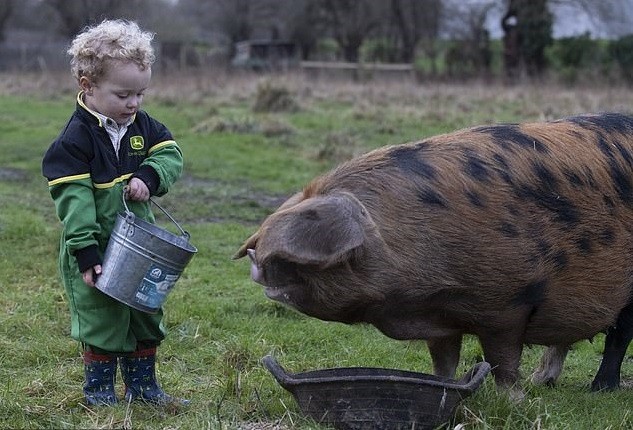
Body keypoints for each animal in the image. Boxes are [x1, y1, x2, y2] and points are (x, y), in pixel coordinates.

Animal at [235, 112, 632, 388]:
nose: (254, 261)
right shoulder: (441, 320)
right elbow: (444, 360)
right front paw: (445, 383)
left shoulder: (509, 303)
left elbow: (503, 360)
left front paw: (512, 399)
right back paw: (543, 383)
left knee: (618, 335)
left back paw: (600, 389)